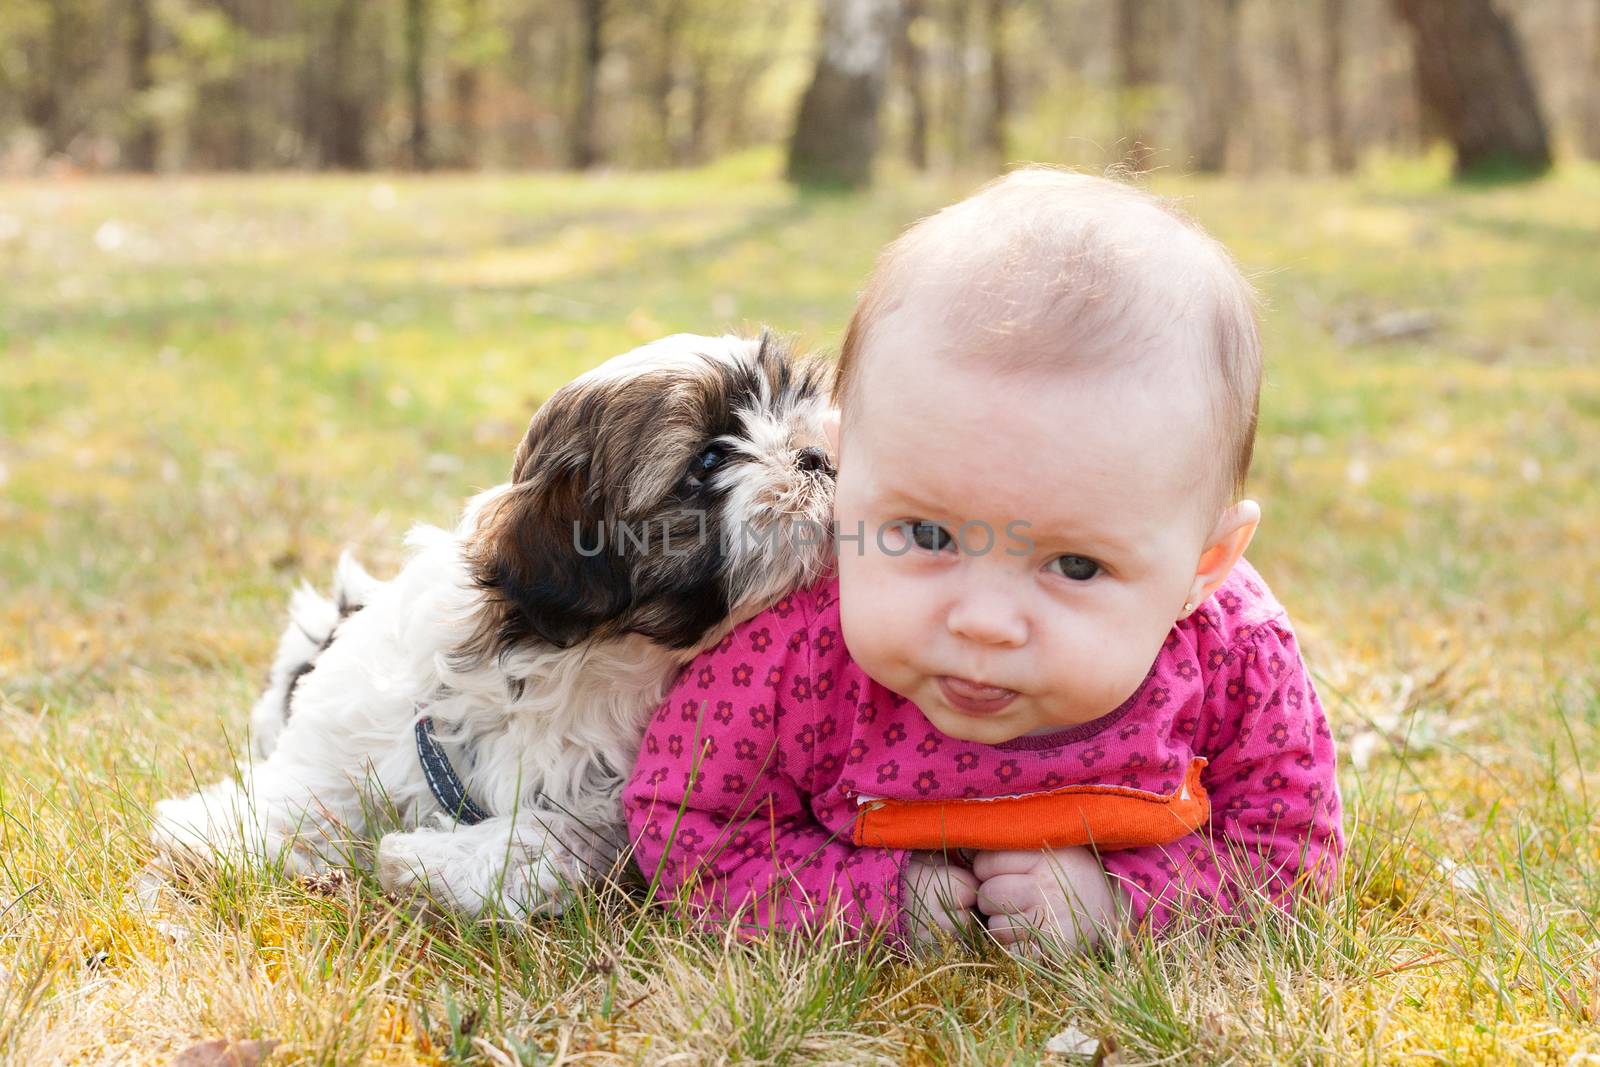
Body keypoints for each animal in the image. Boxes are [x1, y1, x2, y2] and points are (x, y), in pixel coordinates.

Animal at [152, 331, 838, 921]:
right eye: (710, 458)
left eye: (796, 402)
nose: (819, 455)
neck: (572, 662)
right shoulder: (369, 723)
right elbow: (313, 787)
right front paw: (210, 833)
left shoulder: (600, 801)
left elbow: (550, 835)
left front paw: (422, 862)